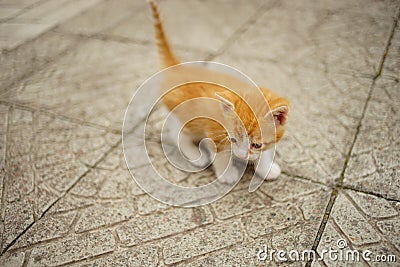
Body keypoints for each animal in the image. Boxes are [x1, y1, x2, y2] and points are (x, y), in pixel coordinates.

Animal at [148, 0, 290, 184]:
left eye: (256, 144)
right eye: (233, 139)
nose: (242, 156)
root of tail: (178, 68)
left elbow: (266, 150)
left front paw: (266, 168)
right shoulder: (214, 132)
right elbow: (220, 154)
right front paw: (227, 174)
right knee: (177, 133)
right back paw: (196, 155)